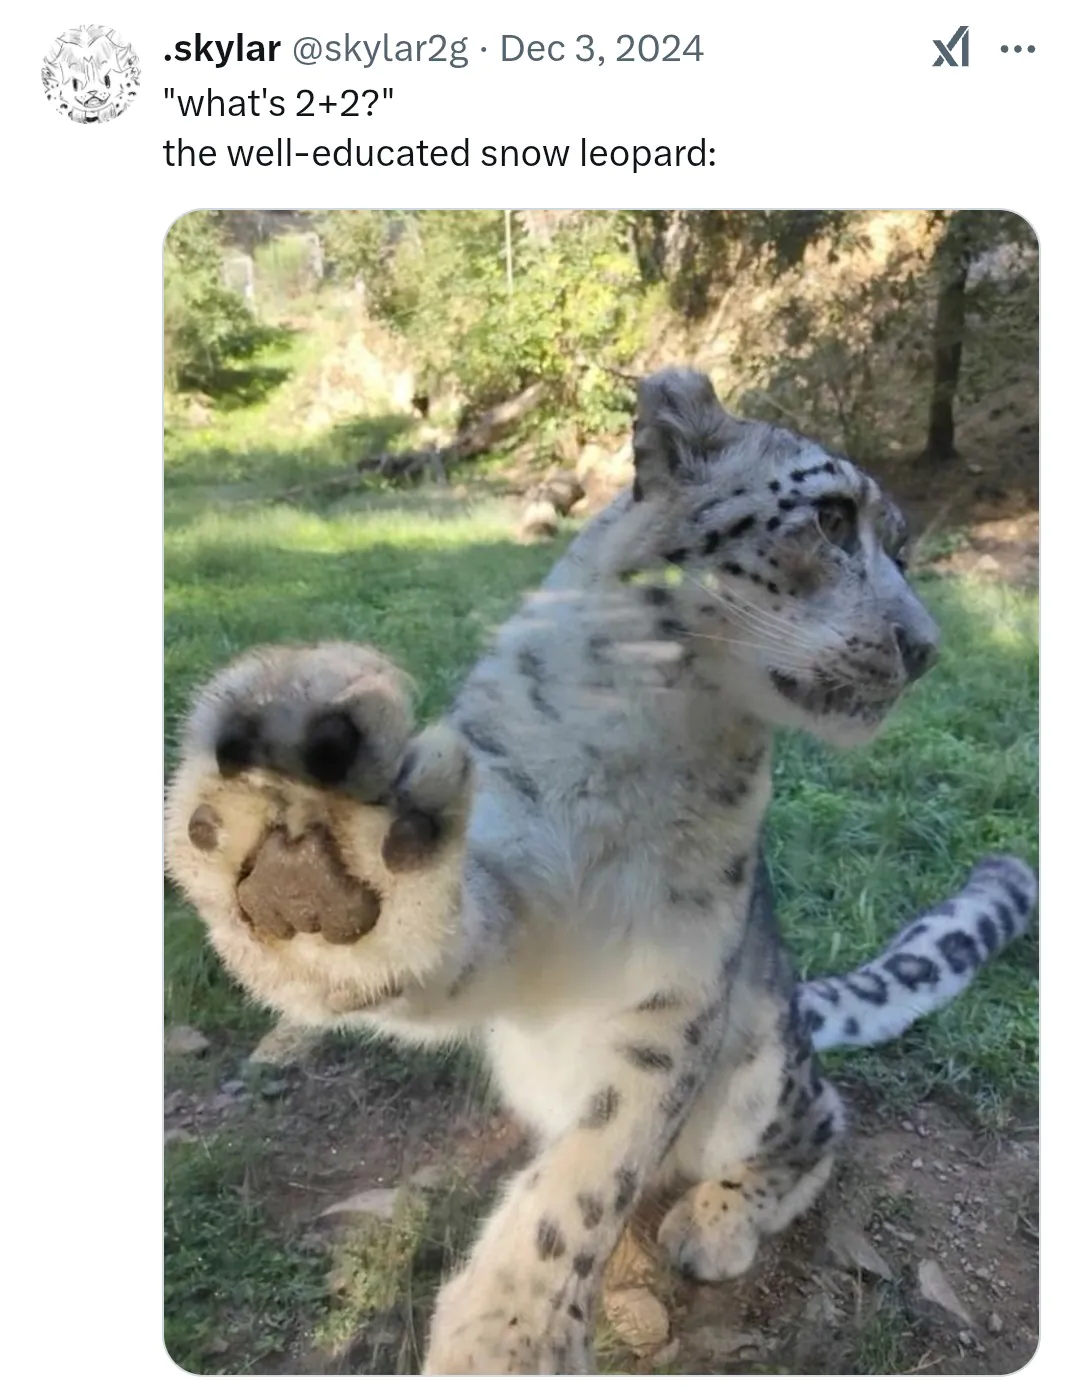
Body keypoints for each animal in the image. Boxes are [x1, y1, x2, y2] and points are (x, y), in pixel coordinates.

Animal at [165, 368, 1037, 1375]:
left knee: (820, 1123)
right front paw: (306, 851)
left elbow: (601, 1162)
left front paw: (510, 1335)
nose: (924, 647)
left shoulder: (678, 978)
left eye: (901, 549)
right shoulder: (511, 890)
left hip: (763, 1064)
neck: (649, 721)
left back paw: (715, 1220)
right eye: (829, 516)